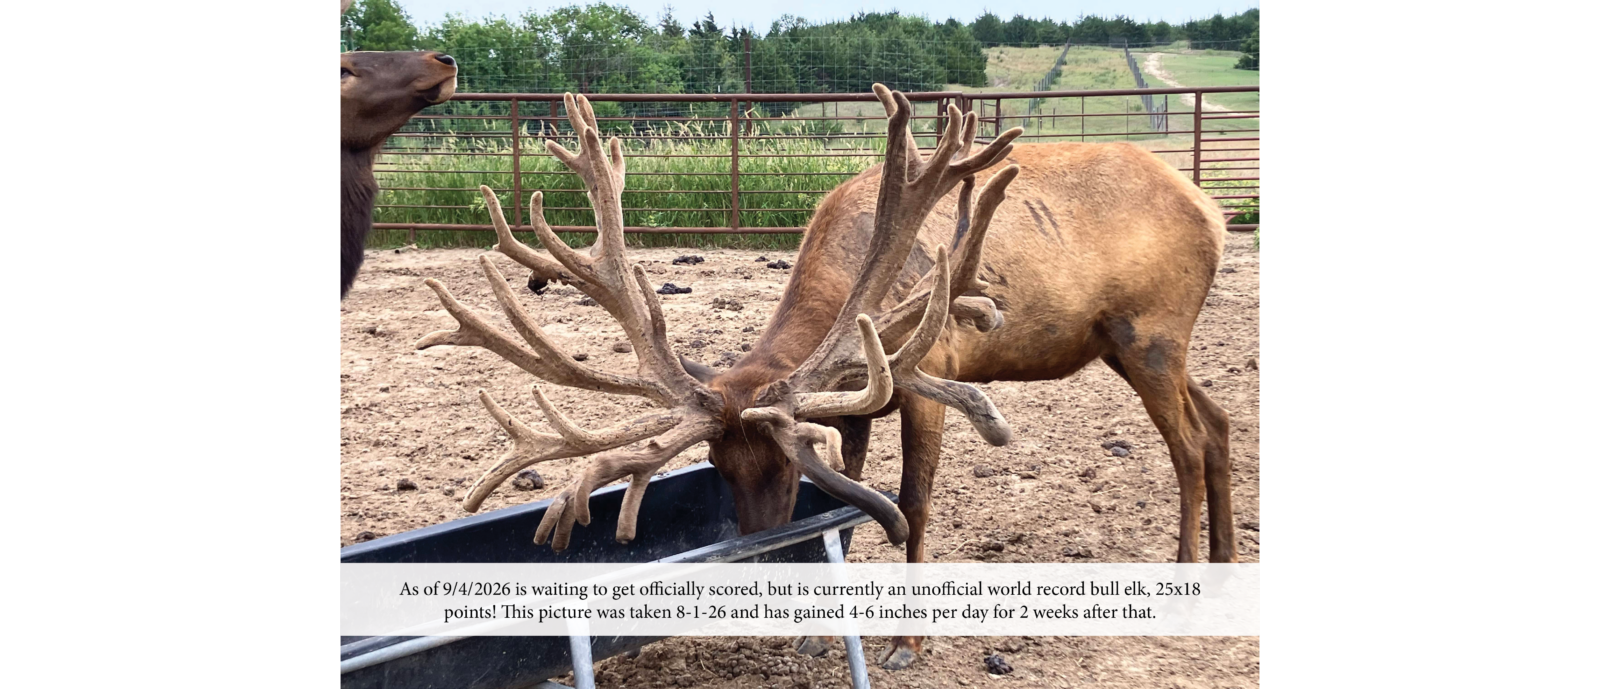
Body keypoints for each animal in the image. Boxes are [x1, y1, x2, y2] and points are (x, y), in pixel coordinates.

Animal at [415, 85, 1234, 671]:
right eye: (719, 467)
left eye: (781, 466)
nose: (751, 563)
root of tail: (1214, 211)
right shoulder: (849, 405)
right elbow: (845, 494)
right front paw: (814, 634)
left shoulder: (929, 373)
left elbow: (913, 504)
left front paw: (908, 644)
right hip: (1137, 345)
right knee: (1219, 422)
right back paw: (1227, 564)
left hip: (1151, 335)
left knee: (1188, 445)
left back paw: (1188, 578)